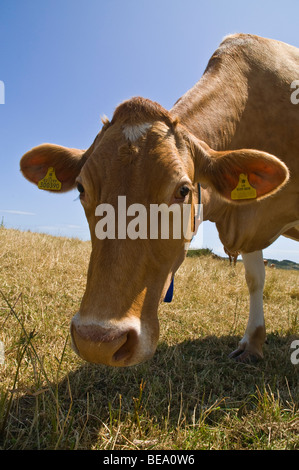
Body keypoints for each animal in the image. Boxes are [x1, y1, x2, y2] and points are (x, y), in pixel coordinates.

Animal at [19, 35, 298, 370]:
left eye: (183, 191)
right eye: (82, 188)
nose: (96, 341)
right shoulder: (249, 218)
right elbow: (255, 278)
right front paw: (253, 344)